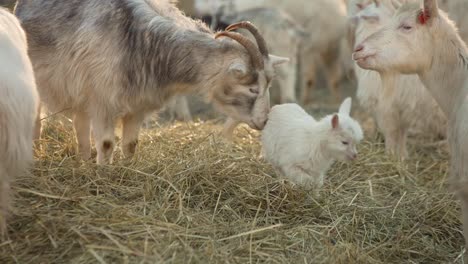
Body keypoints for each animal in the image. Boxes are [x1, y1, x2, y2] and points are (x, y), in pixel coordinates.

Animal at [15, 0, 288, 164]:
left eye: (268, 86)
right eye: (252, 88)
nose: (264, 121)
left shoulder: (136, 105)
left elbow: (131, 144)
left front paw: (126, 170)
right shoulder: (103, 102)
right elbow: (106, 144)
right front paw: (103, 176)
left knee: (79, 124)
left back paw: (83, 161)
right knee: (37, 119)